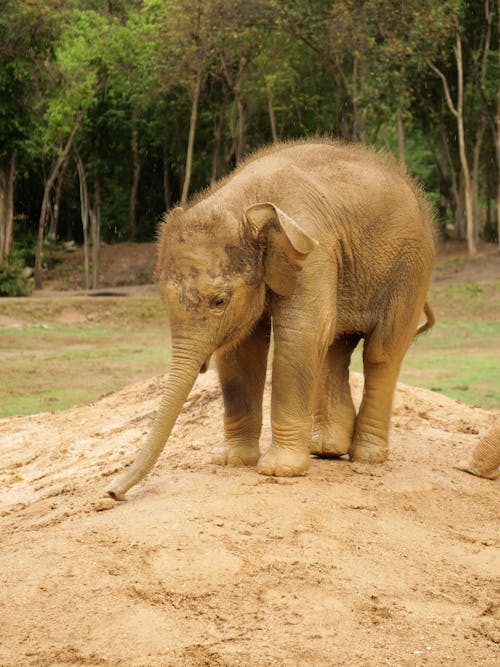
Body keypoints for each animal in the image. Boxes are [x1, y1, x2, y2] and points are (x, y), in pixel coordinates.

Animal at [107, 140, 436, 500]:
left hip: (411, 268)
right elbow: (241, 350)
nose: (111, 494)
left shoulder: (312, 253)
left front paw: (279, 471)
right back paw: (327, 449)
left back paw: (366, 457)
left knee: (380, 353)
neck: (245, 202)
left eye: (219, 301)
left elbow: (299, 335)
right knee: (334, 347)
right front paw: (231, 461)